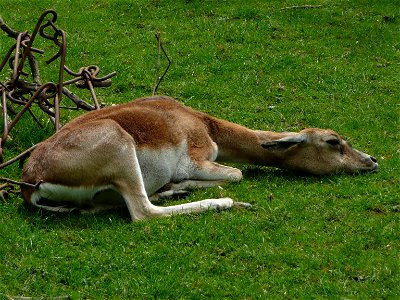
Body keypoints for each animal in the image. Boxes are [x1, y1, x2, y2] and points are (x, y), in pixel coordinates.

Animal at [21, 96, 378, 220]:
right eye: (333, 141)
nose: (372, 160)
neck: (206, 125)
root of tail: (30, 180)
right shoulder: (195, 159)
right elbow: (237, 173)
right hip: (120, 149)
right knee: (143, 213)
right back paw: (222, 202)